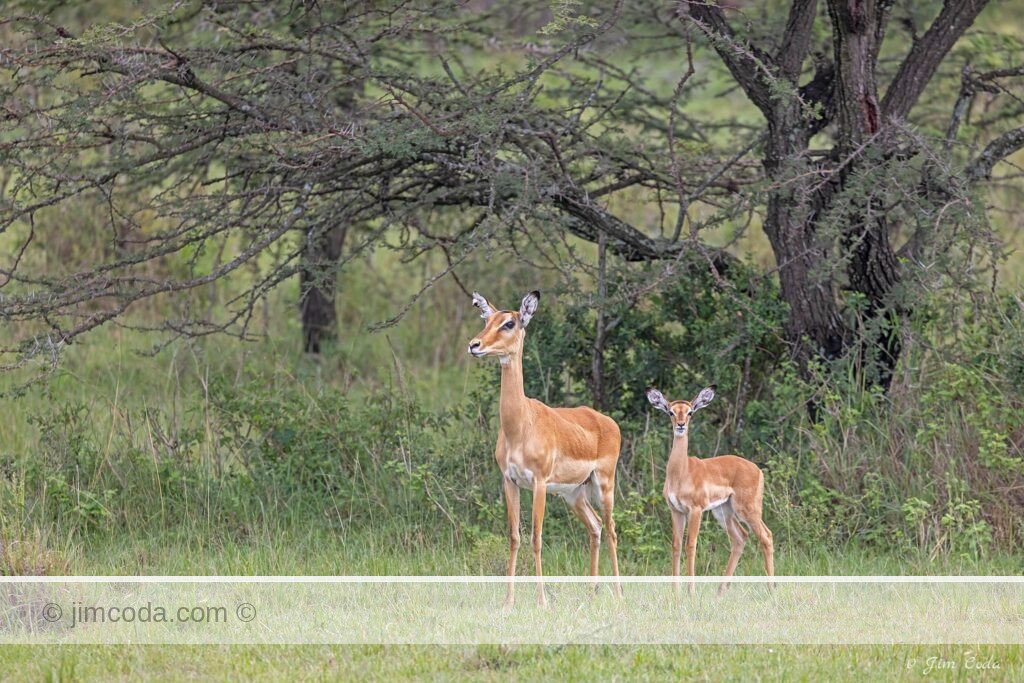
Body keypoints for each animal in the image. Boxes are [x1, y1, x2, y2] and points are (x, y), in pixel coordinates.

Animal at [468, 290, 622, 608]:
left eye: (510, 323)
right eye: (487, 320)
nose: (474, 345)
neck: (520, 427)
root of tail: (608, 421)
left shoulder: (538, 482)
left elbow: (536, 538)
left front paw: (541, 601)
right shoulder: (510, 481)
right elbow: (514, 537)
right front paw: (508, 602)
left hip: (604, 484)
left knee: (612, 529)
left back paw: (619, 593)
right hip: (574, 494)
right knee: (595, 527)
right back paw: (591, 593)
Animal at [645, 385, 774, 594]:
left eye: (690, 412)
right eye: (671, 411)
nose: (680, 425)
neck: (682, 472)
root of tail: (757, 470)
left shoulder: (695, 510)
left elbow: (691, 544)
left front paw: (691, 591)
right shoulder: (676, 510)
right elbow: (676, 545)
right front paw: (675, 592)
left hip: (747, 509)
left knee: (766, 536)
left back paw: (772, 589)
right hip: (723, 512)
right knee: (740, 538)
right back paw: (721, 590)